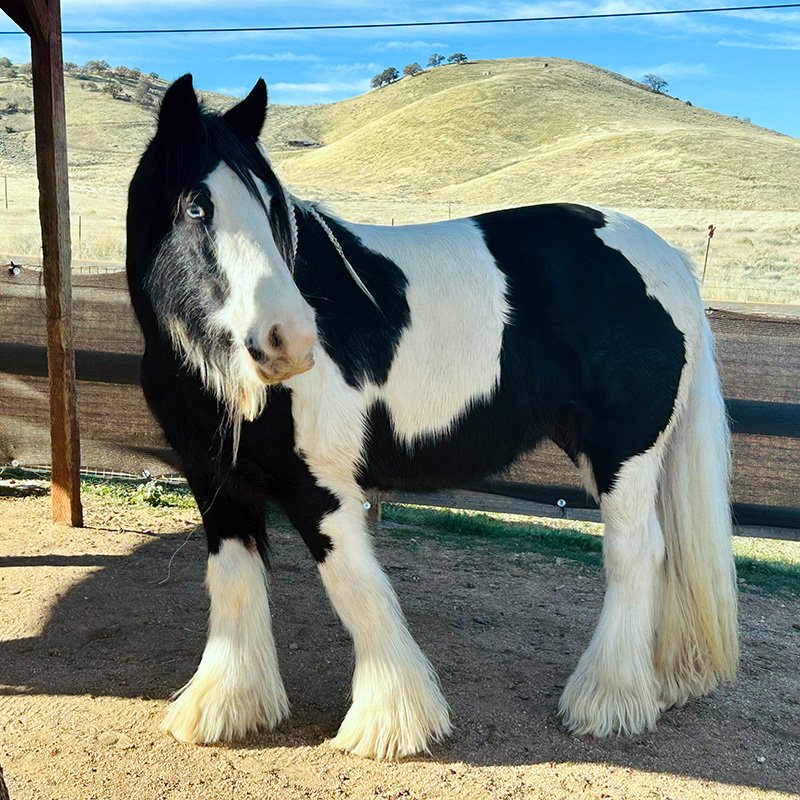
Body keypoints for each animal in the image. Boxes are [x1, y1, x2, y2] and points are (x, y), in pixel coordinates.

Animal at [125, 74, 738, 760]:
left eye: (269, 210)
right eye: (196, 208)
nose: (291, 341)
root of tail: (667, 261)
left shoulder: (318, 484)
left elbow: (354, 585)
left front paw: (390, 720)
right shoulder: (217, 481)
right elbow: (233, 580)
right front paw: (226, 707)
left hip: (623, 455)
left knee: (635, 554)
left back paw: (608, 700)